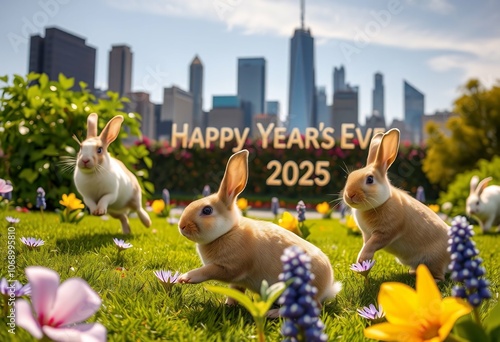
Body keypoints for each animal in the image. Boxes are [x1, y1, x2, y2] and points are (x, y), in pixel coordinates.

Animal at [344, 128, 450, 280]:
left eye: (370, 179)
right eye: (350, 176)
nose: (349, 194)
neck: (382, 202)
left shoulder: (385, 233)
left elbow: (371, 245)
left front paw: (362, 260)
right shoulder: (367, 235)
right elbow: (365, 244)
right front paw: (362, 262)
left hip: (433, 260)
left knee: (440, 274)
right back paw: (413, 272)